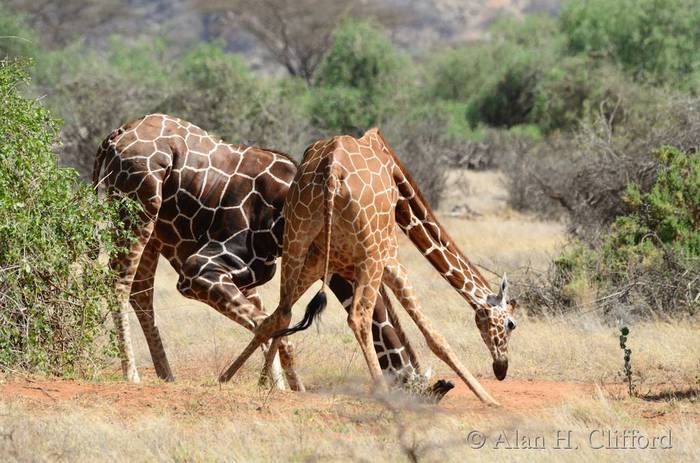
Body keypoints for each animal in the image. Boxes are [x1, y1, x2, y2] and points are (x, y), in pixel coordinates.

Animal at [93, 114, 452, 397]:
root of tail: (114, 138)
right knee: (119, 284)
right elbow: (270, 323)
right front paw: (278, 386)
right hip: (137, 210)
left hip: (155, 232)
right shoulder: (200, 269)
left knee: (141, 293)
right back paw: (132, 375)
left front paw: (284, 387)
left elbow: (270, 322)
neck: (285, 208)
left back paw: (167, 375)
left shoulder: (250, 273)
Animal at [218, 128, 517, 406]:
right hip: (370, 255)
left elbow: (277, 317)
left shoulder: (323, 262)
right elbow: (434, 336)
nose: (501, 368)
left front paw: (257, 380)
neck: (401, 188)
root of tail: (332, 173)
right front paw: (489, 399)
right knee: (358, 317)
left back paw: (233, 377)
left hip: (296, 239)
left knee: (282, 311)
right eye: (511, 324)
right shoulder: (390, 258)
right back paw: (383, 393)